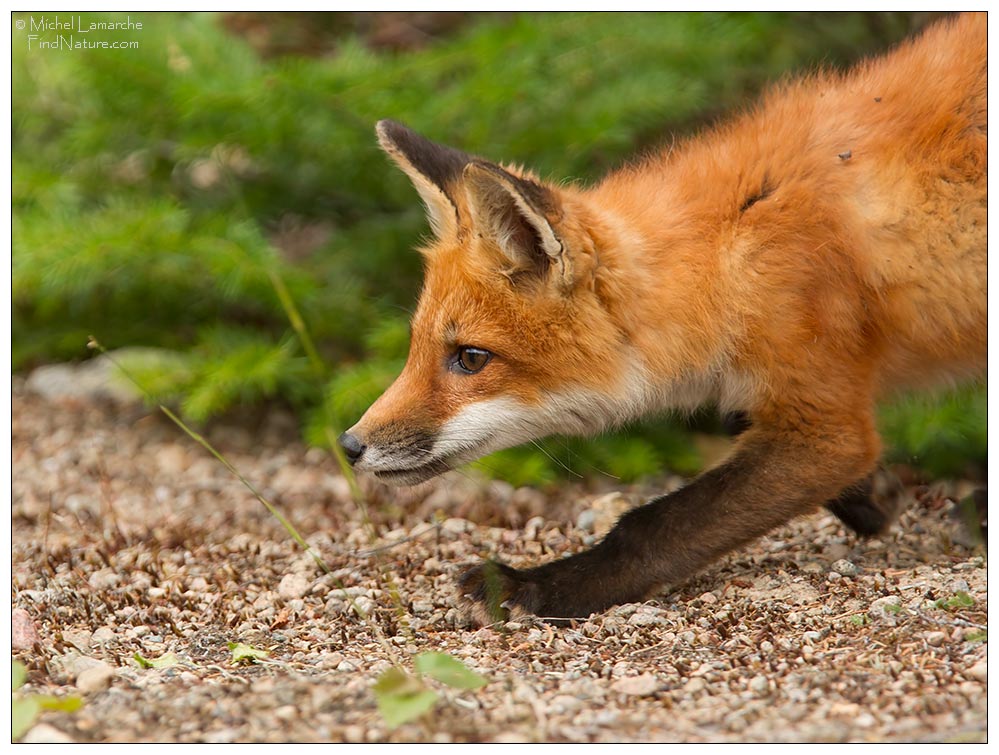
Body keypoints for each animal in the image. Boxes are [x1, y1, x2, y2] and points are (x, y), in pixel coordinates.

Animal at [340, 14, 988, 624]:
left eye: (471, 358)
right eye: (415, 346)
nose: (349, 445)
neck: (729, 255)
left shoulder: (824, 428)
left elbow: (653, 525)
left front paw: (537, 587)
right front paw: (873, 497)